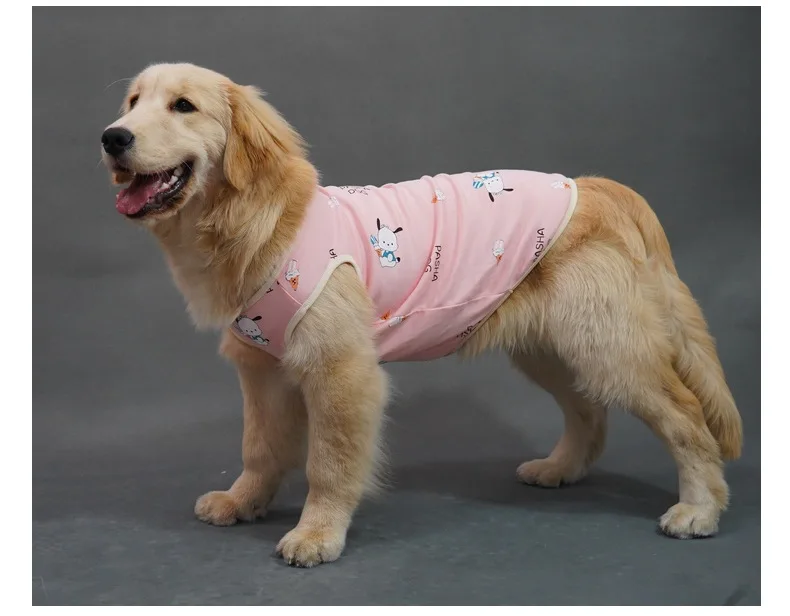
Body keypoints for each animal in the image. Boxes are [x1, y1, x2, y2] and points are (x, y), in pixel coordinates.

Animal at [101, 63, 743, 567]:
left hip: (605, 345)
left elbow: (329, 462)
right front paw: (243, 501)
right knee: (589, 411)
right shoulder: (260, 368)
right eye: (132, 102)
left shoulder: (341, 371)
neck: (259, 221)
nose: (112, 137)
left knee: (686, 415)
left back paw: (699, 508)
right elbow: (258, 446)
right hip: (549, 347)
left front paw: (317, 533)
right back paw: (561, 468)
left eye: (183, 106)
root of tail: (598, 187)